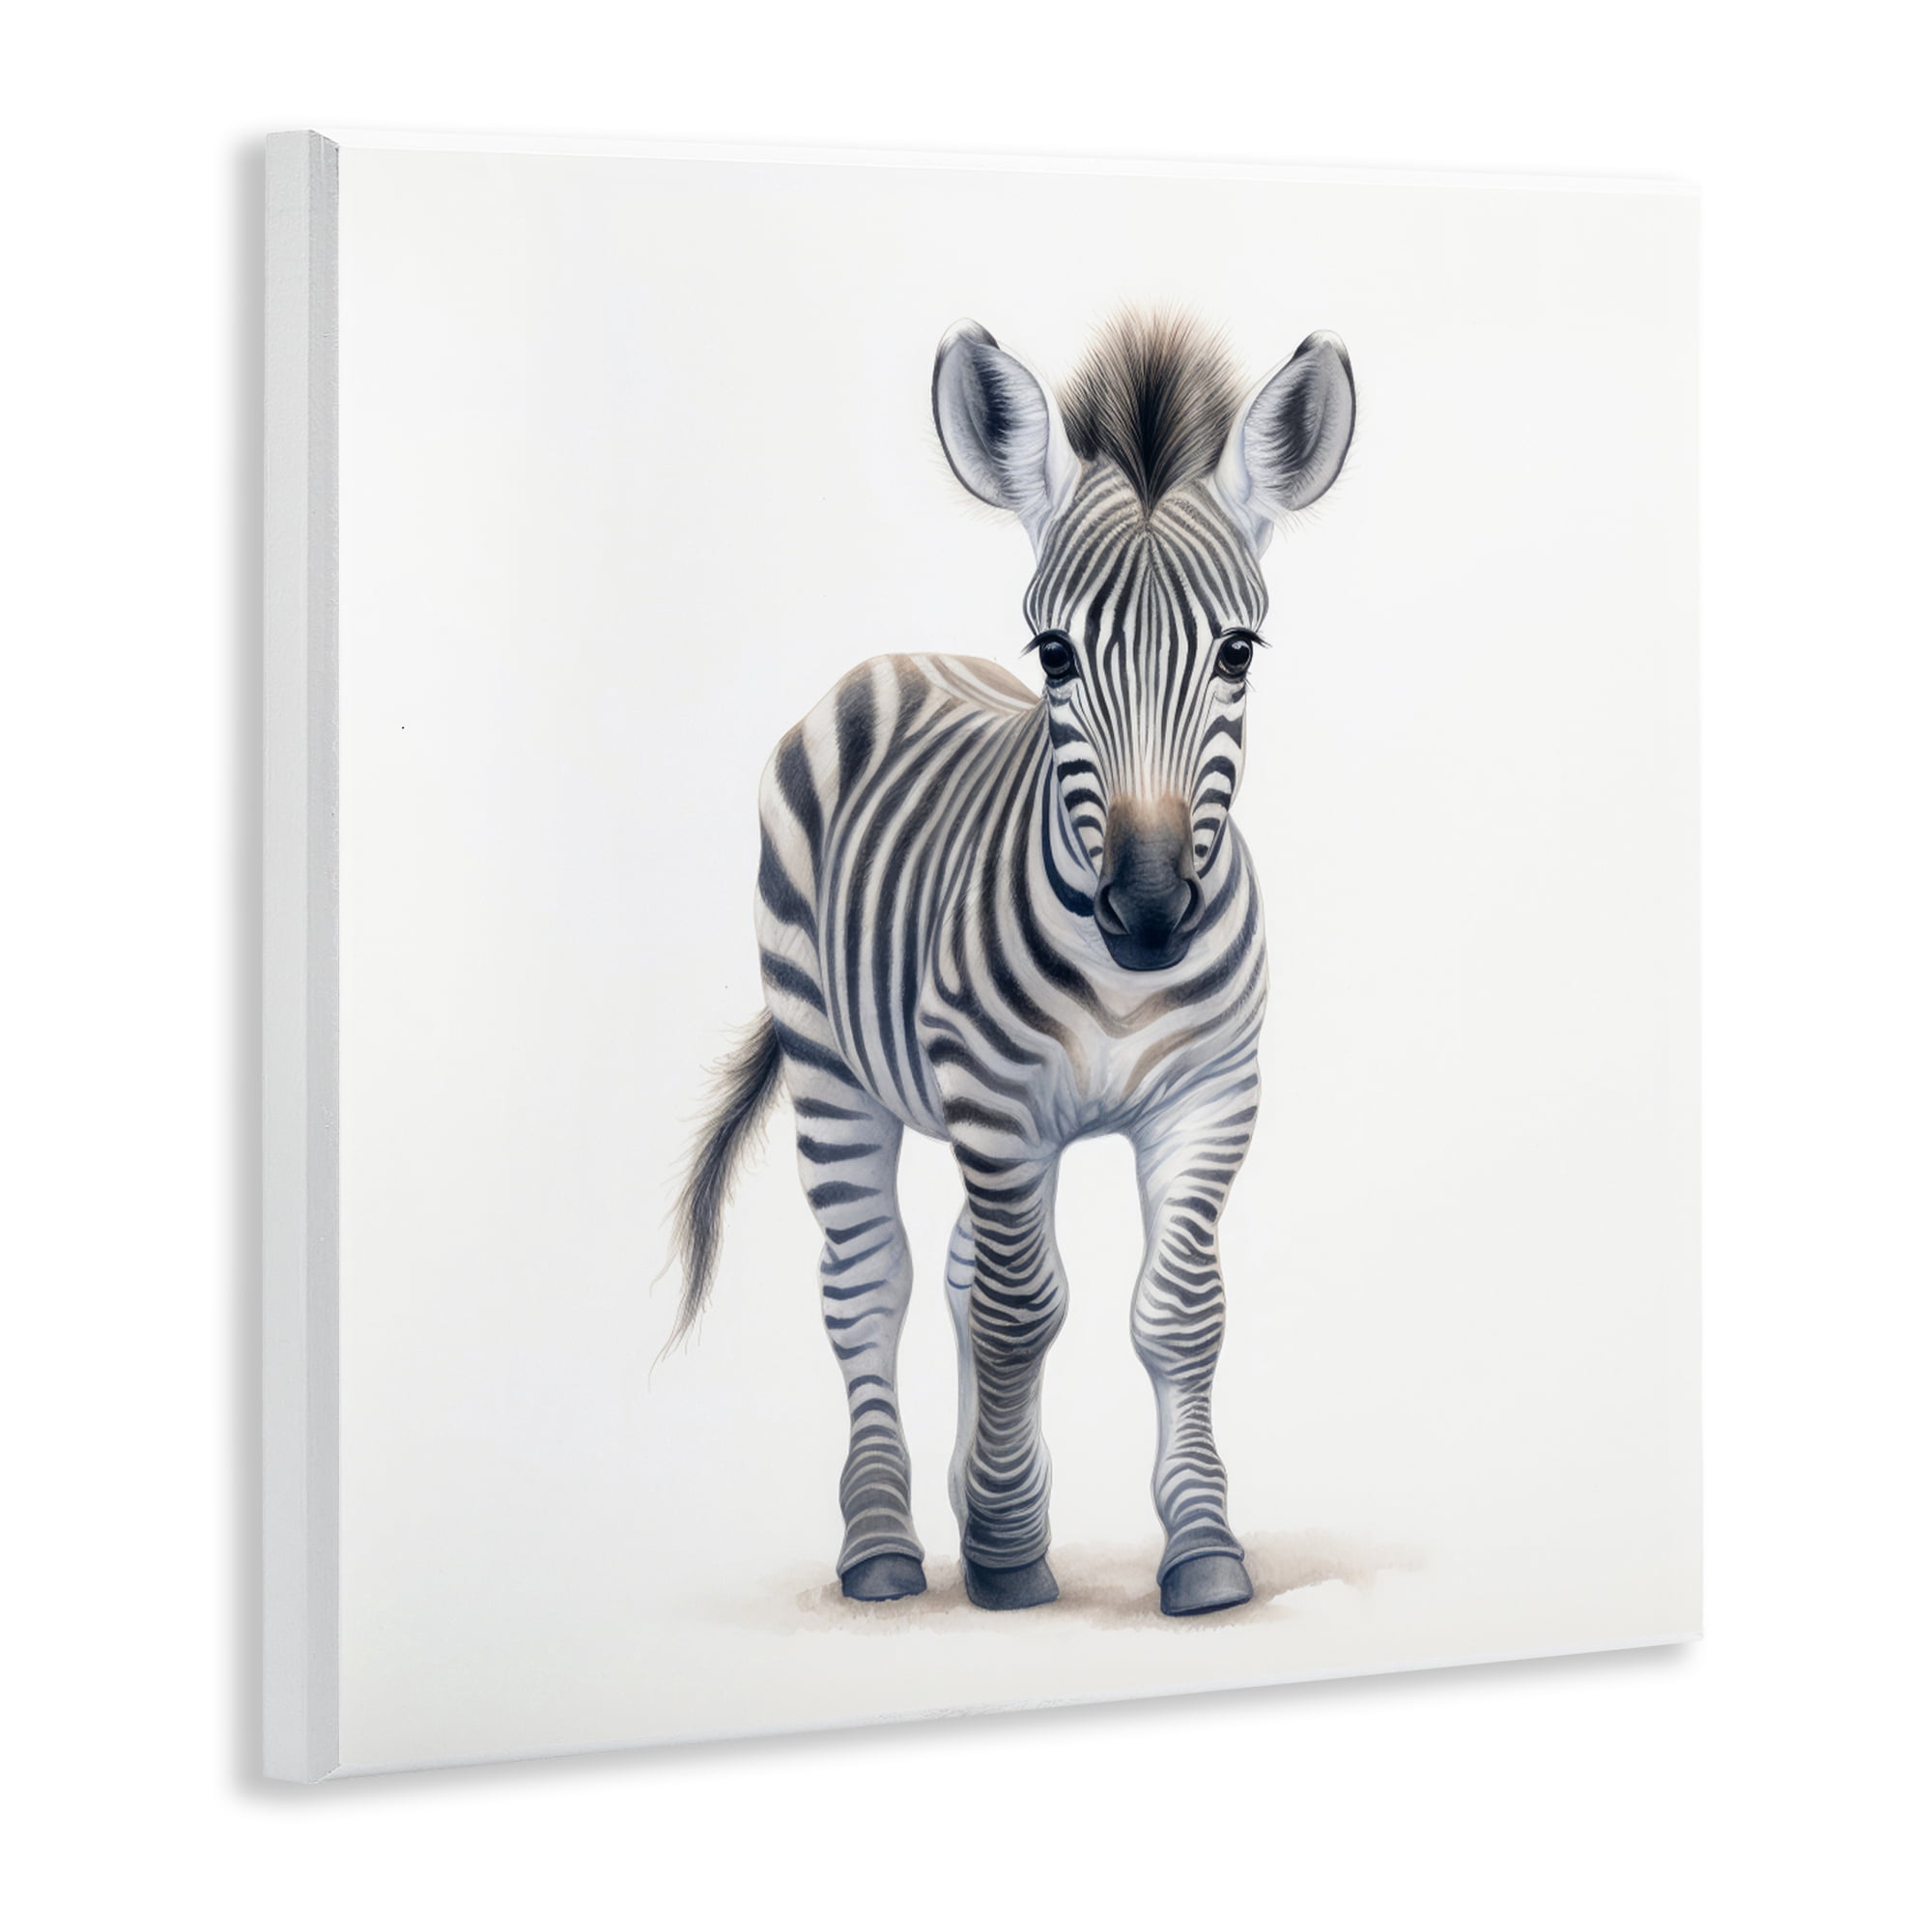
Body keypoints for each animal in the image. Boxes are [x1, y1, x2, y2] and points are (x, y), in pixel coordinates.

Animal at [668, 309, 1354, 1617]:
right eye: (1053, 655)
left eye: (1237, 653)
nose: (1147, 913)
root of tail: (893, 660)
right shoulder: (994, 1100)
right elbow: (1021, 1309)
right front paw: (1000, 1552)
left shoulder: (1210, 1097)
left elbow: (1174, 1313)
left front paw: (1198, 1549)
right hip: (832, 1068)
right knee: (870, 1287)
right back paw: (885, 1543)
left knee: (955, 1272)